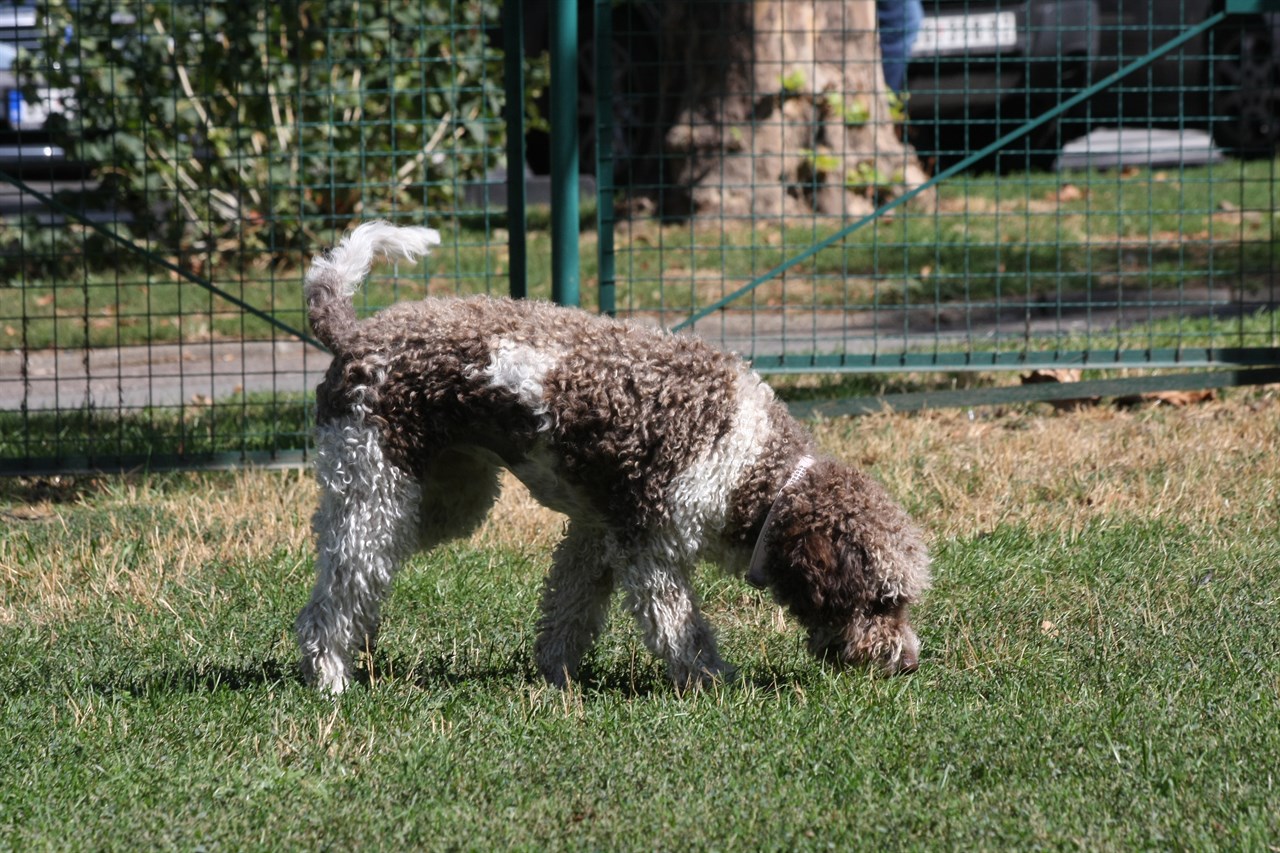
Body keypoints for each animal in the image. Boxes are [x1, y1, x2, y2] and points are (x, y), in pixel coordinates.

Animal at [296, 219, 931, 691]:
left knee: (353, 570)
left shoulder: (596, 534)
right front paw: (712, 683)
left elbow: (569, 612)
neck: (751, 466)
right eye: (884, 599)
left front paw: (555, 679)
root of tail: (354, 334)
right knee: (335, 593)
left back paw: (358, 649)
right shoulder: (649, 546)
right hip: (375, 487)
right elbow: (680, 629)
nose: (908, 662)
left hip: (440, 498)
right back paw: (330, 677)